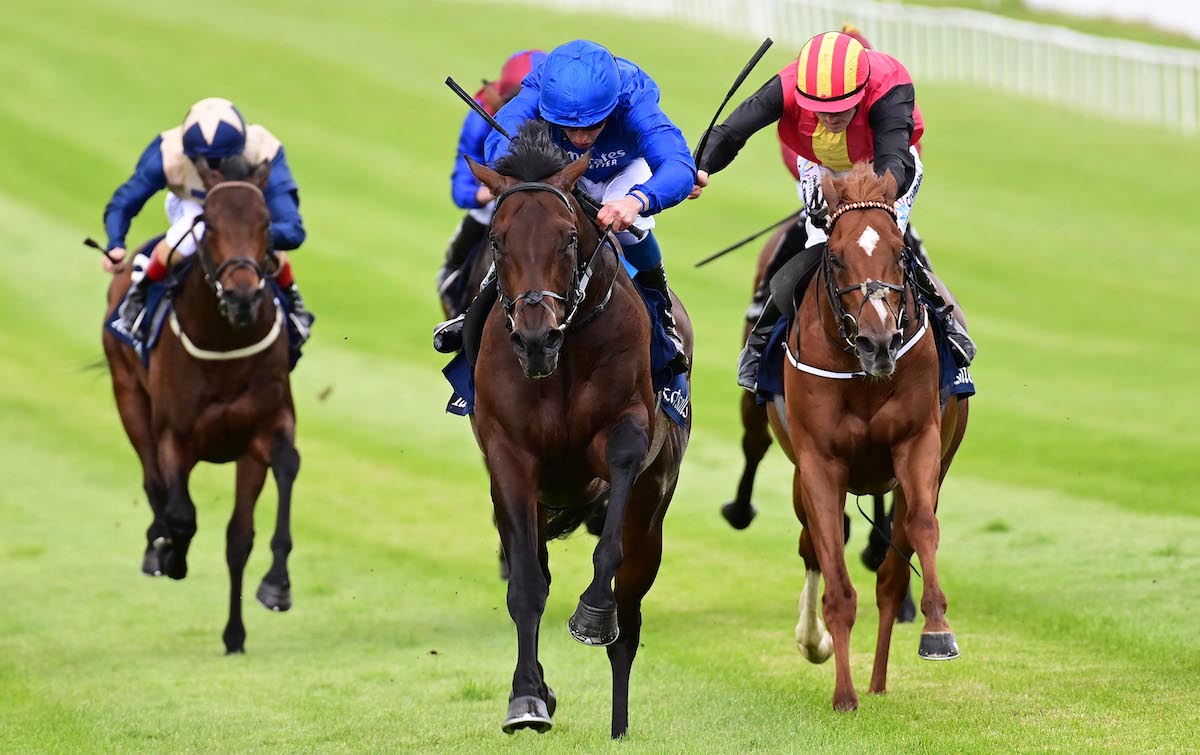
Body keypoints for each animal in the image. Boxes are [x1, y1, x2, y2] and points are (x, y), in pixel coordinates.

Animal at [103, 156, 300, 652]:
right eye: (208, 224)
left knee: (235, 537)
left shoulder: (263, 431)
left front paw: (276, 586)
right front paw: (171, 555)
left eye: (265, 222)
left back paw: (234, 633)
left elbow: (257, 513)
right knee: (154, 483)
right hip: (128, 399)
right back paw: (158, 549)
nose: (243, 296)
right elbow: (181, 513)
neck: (224, 344)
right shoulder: (175, 437)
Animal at [460, 122, 691, 734]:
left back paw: (619, 724)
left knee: (629, 614)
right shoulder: (511, 461)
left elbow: (609, 553)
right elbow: (525, 585)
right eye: (498, 241)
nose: (534, 338)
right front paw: (527, 698)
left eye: (567, 238)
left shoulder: (627, 431)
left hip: (652, 517)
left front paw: (591, 613)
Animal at [768, 162, 964, 710]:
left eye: (900, 253)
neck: (861, 373)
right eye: (835, 258)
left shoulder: (918, 443)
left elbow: (921, 529)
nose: (880, 342)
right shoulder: (818, 463)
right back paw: (818, 645)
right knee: (811, 545)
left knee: (891, 577)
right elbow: (834, 573)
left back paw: (878, 682)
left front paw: (937, 629)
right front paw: (843, 694)